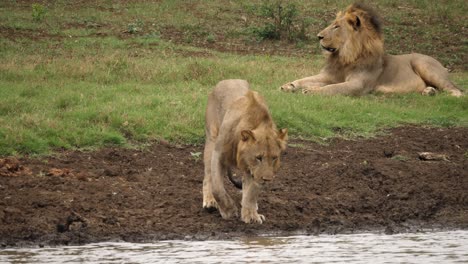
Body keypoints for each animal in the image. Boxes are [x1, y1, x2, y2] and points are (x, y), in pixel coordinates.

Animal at [203, 79, 288, 224]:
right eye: (259, 157)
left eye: (274, 158)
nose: (267, 179)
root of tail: (228, 80)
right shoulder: (218, 154)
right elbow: (217, 187)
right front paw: (229, 210)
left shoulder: (253, 171)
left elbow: (251, 192)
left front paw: (251, 215)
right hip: (211, 139)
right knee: (208, 176)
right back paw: (209, 202)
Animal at [280, 2, 462, 97]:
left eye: (336, 26)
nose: (318, 36)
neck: (344, 56)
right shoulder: (328, 76)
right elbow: (304, 79)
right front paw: (288, 85)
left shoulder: (357, 84)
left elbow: (332, 88)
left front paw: (311, 90)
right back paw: (429, 91)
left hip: (424, 65)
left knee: (457, 90)